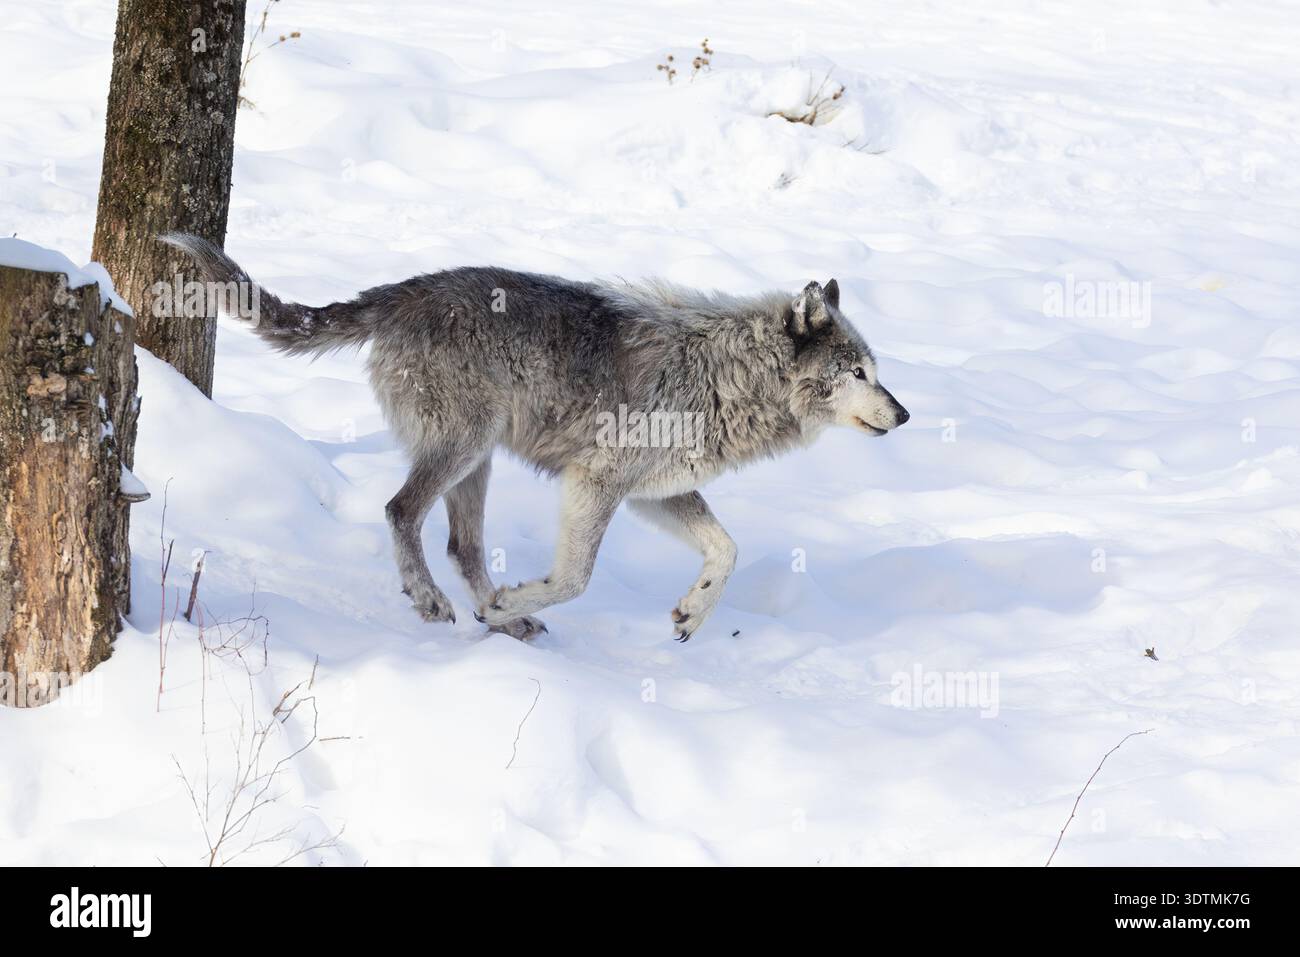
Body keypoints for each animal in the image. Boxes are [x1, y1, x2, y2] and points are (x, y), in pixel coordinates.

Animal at [161, 235, 909, 640]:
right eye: (858, 372)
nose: (904, 415)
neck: (725, 373)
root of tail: (407, 289)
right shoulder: (597, 483)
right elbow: (574, 579)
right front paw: (515, 599)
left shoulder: (654, 495)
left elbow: (726, 551)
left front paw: (693, 614)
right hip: (464, 446)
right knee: (401, 512)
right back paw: (441, 602)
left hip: (479, 461)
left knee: (461, 544)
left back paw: (497, 619)